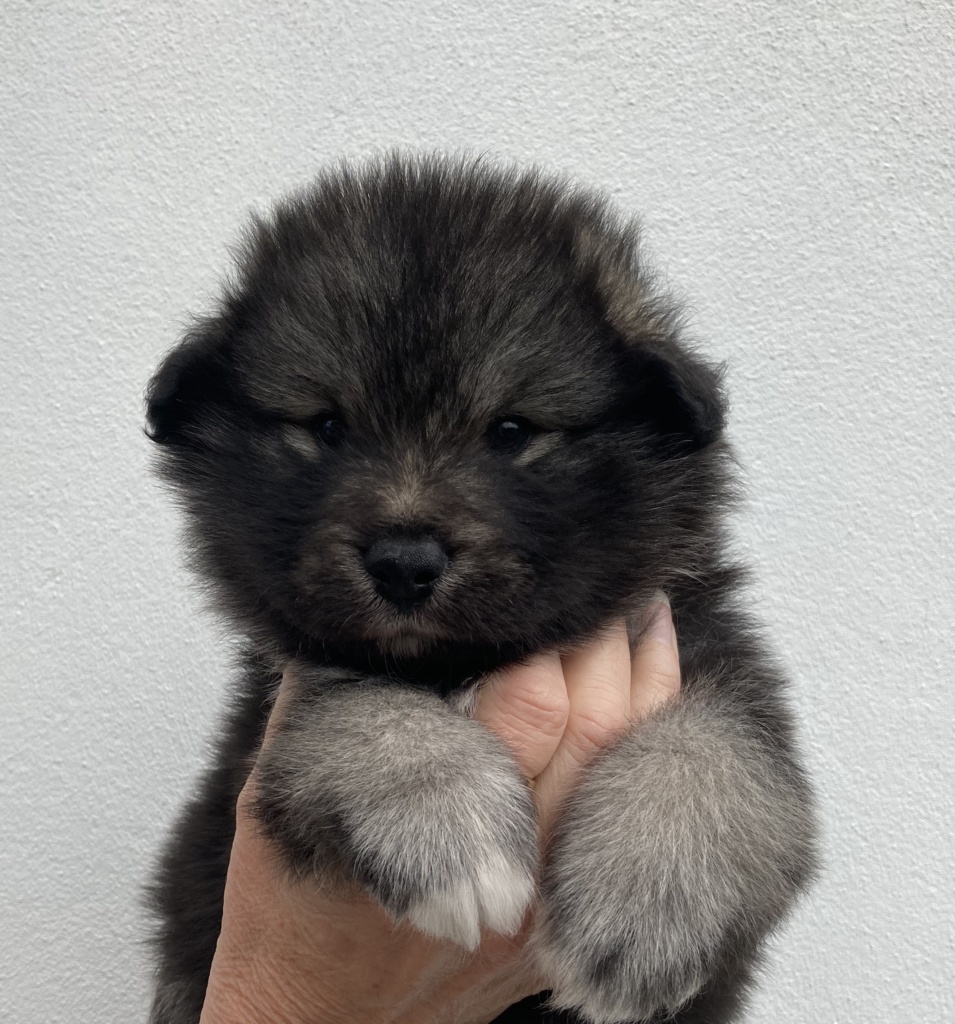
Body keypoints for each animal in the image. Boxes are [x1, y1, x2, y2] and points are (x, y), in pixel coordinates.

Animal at [145, 153, 814, 1024]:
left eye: (511, 431)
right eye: (326, 427)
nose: (403, 563)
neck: (464, 663)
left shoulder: (699, 639)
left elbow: (714, 746)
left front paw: (647, 901)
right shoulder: (275, 704)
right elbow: (357, 706)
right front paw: (445, 819)